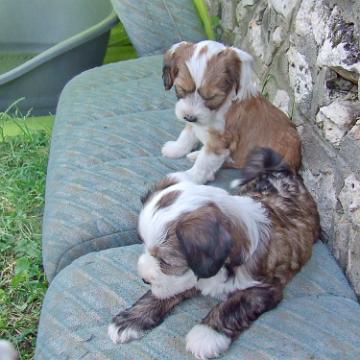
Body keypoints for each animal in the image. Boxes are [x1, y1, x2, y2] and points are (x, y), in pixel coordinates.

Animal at [108, 148, 320, 358]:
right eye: (142, 243)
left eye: (166, 262)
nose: (144, 279)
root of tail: (282, 171)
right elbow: (163, 291)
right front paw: (129, 320)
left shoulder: (265, 288)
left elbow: (235, 304)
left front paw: (206, 335)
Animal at [160, 40, 300, 184]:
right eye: (181, 89)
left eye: (212, 97)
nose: (190, 117)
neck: (219, 108)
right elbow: (187, 135)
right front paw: (176, 149)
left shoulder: (221, 140)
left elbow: (204, 162)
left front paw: (189, 177)